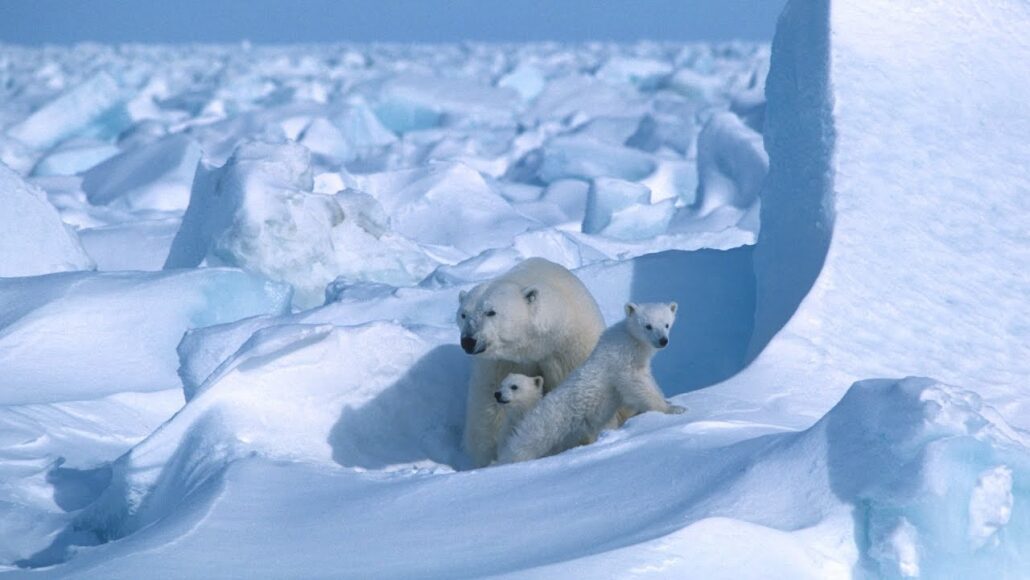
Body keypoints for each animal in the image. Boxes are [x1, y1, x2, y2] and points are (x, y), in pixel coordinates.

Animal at [457, 258, 605, 467]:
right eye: (463, 314)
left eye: (491, 312)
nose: (469, 340)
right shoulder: (502, 362)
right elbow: (490, 410)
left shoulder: (569, 349)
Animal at [496, 302, 683, 465]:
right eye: (648, 326)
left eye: (667, 324)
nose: (663, 340)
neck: (629, 339)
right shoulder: (621, 361)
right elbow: (636, 384)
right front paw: (674, 409)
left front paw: (669, 402)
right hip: (545, 427)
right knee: (521, 447)